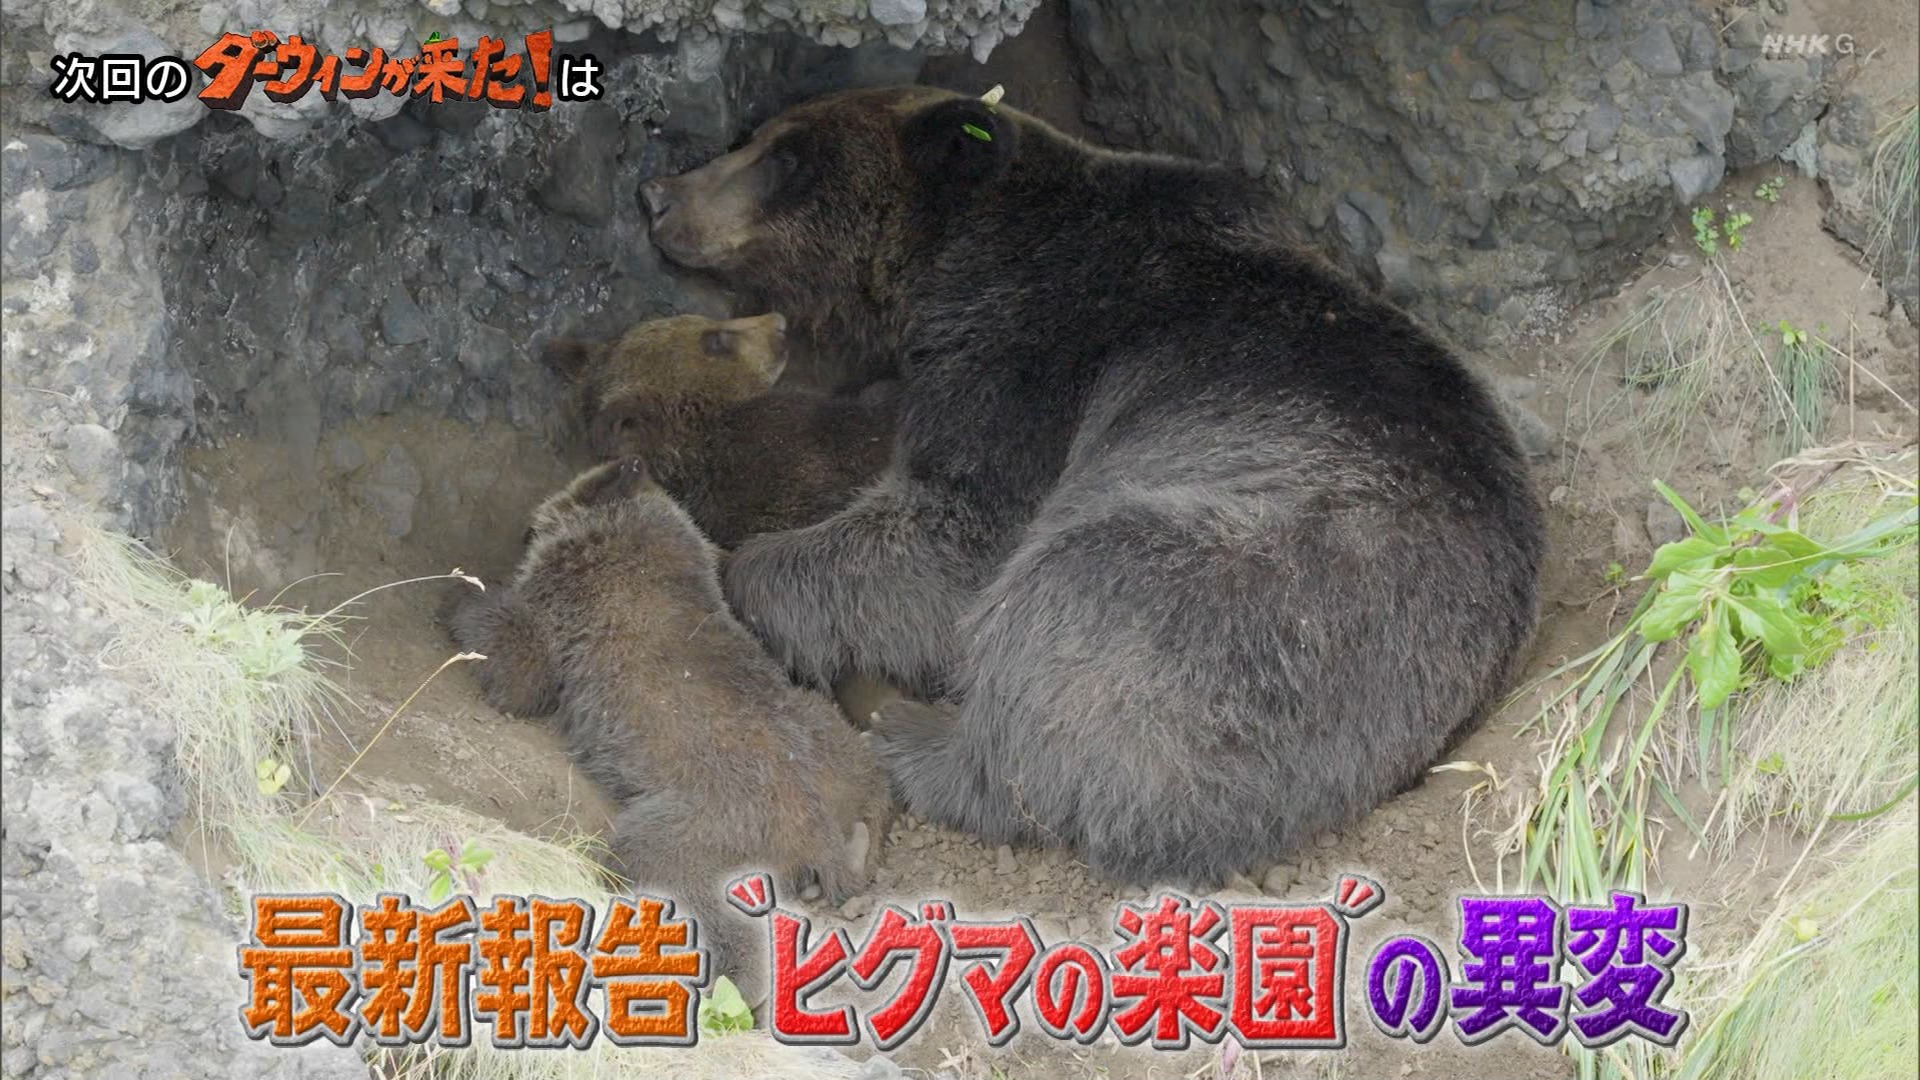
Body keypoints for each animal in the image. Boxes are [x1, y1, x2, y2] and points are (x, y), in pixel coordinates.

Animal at [442, 457, 894, 991]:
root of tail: (819, 835)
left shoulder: (561, 607)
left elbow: (520, 663)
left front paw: (457, 594)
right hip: (828, 732)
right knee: (870, 770)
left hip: (698, 829)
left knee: (668, 875)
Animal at [637, 85, 1546, 890]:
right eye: (753, 134)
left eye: (787, 157)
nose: (658, 194)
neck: (958, 253)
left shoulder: (1035, 351)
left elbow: (954, 535)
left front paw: (744, 574)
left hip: (1246, 596)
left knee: (1055, 622)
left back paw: (914, 734)